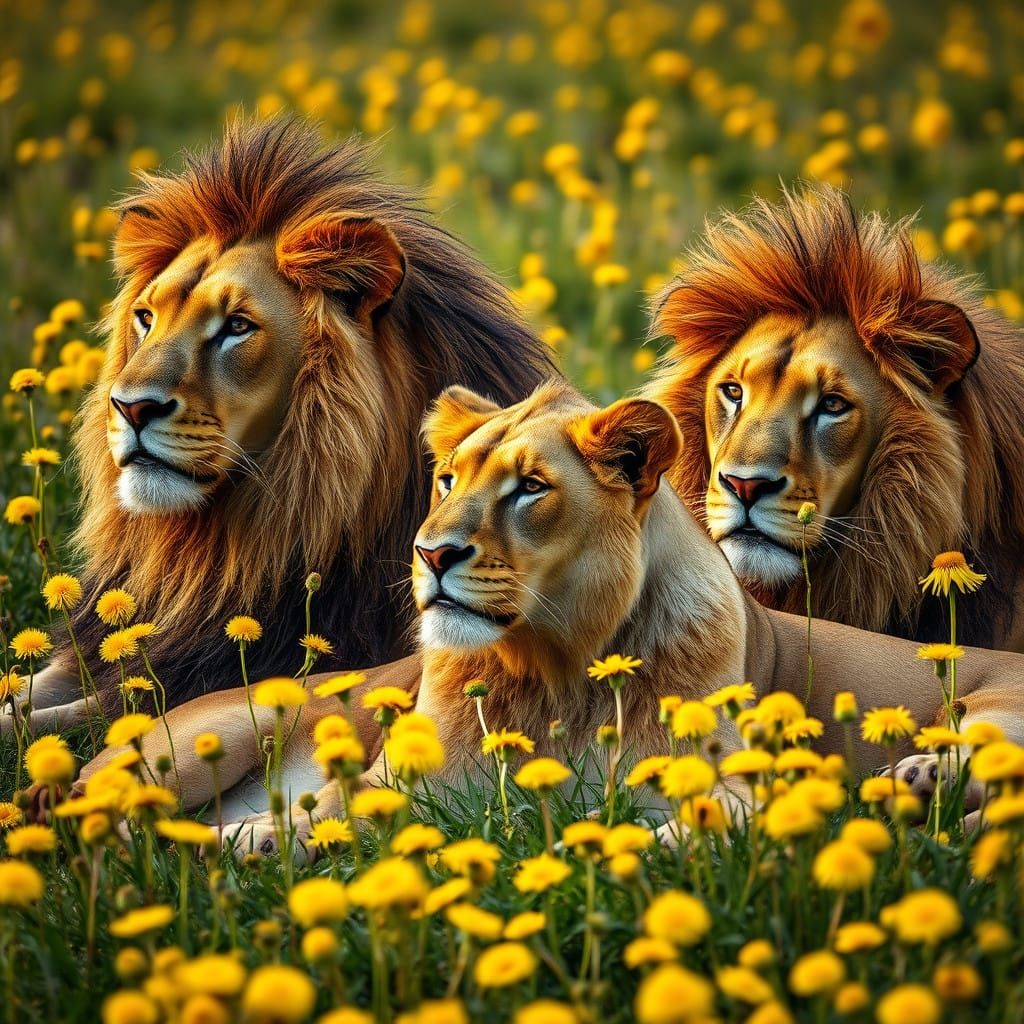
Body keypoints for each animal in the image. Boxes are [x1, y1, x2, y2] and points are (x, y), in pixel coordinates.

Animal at [12, 118, 551, 733]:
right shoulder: (102, 648)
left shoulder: (203, 676)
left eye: (237, 327)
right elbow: (21, 691)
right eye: (146, 317)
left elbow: (52, 720)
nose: (128, 407)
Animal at [80, 381, 1024, 855]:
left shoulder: (739, 775)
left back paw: (915, 782)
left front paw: (652, 845)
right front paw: (257, 838)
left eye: (530, 489)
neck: (556, 669)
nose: (429, 553)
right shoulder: (406, 784)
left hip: (995, 702)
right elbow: (337, 812)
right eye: (448, 478)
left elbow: (719, 812)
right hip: (218, 730)